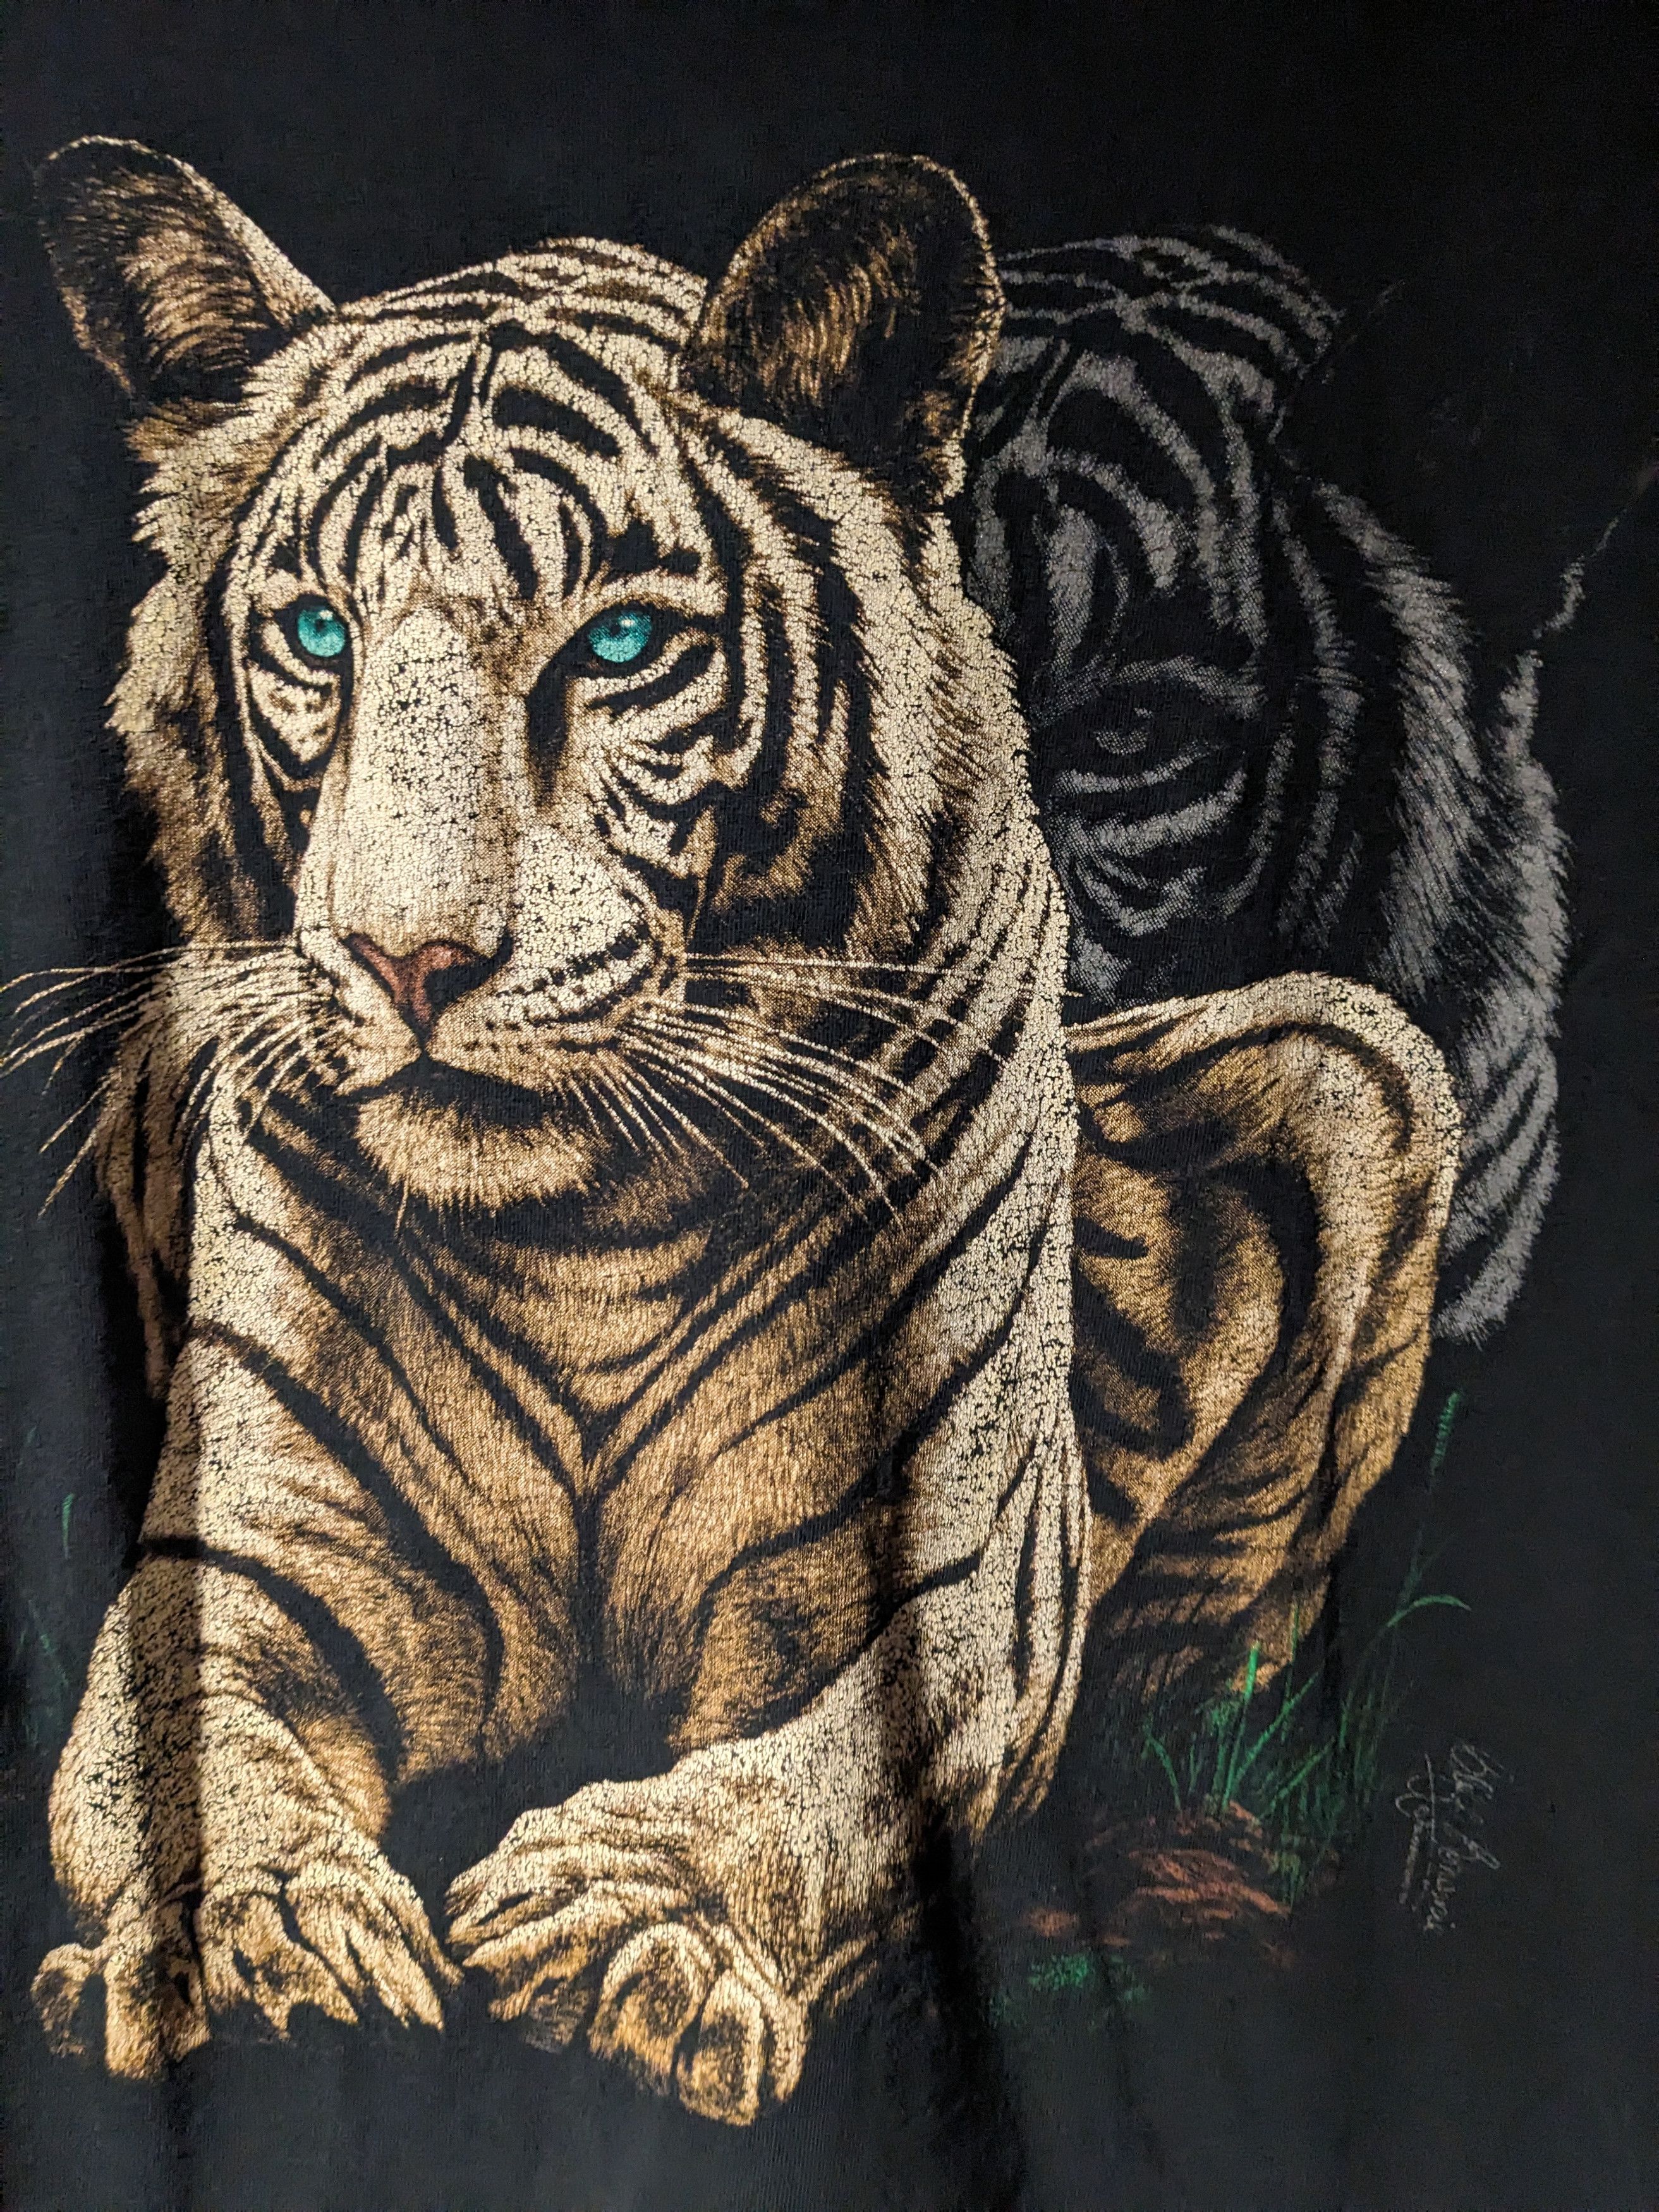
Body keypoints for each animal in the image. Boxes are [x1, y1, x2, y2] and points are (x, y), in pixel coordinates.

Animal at [21, 138, 1457, 2125]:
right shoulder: (246, 1559)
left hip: (1365, 1059)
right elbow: (204, 1773)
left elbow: (803, 1789)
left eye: (619, 643)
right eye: (318, 634)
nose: (406, 957)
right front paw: (263, 1950)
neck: (579, 1239)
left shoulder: (943, 1572)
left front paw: (626, 1929)